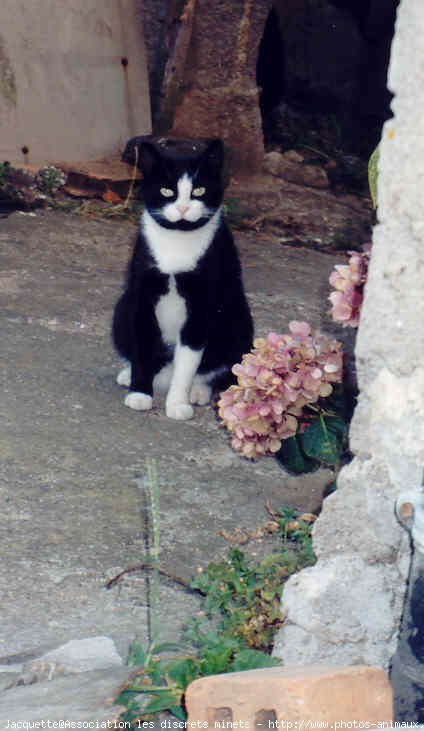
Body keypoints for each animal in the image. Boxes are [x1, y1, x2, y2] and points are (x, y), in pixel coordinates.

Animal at [111, 139, 253, 420]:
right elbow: (142, 346)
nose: (183, 208)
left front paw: (177, 403)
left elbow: (187, 363)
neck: (177, 241)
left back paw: (198, 391)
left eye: (199, 190)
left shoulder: (201, 307)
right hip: (122, 307)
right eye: (167, 191)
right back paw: (128, 374)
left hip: (239, 319)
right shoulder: (142, 296)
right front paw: (139, 393)